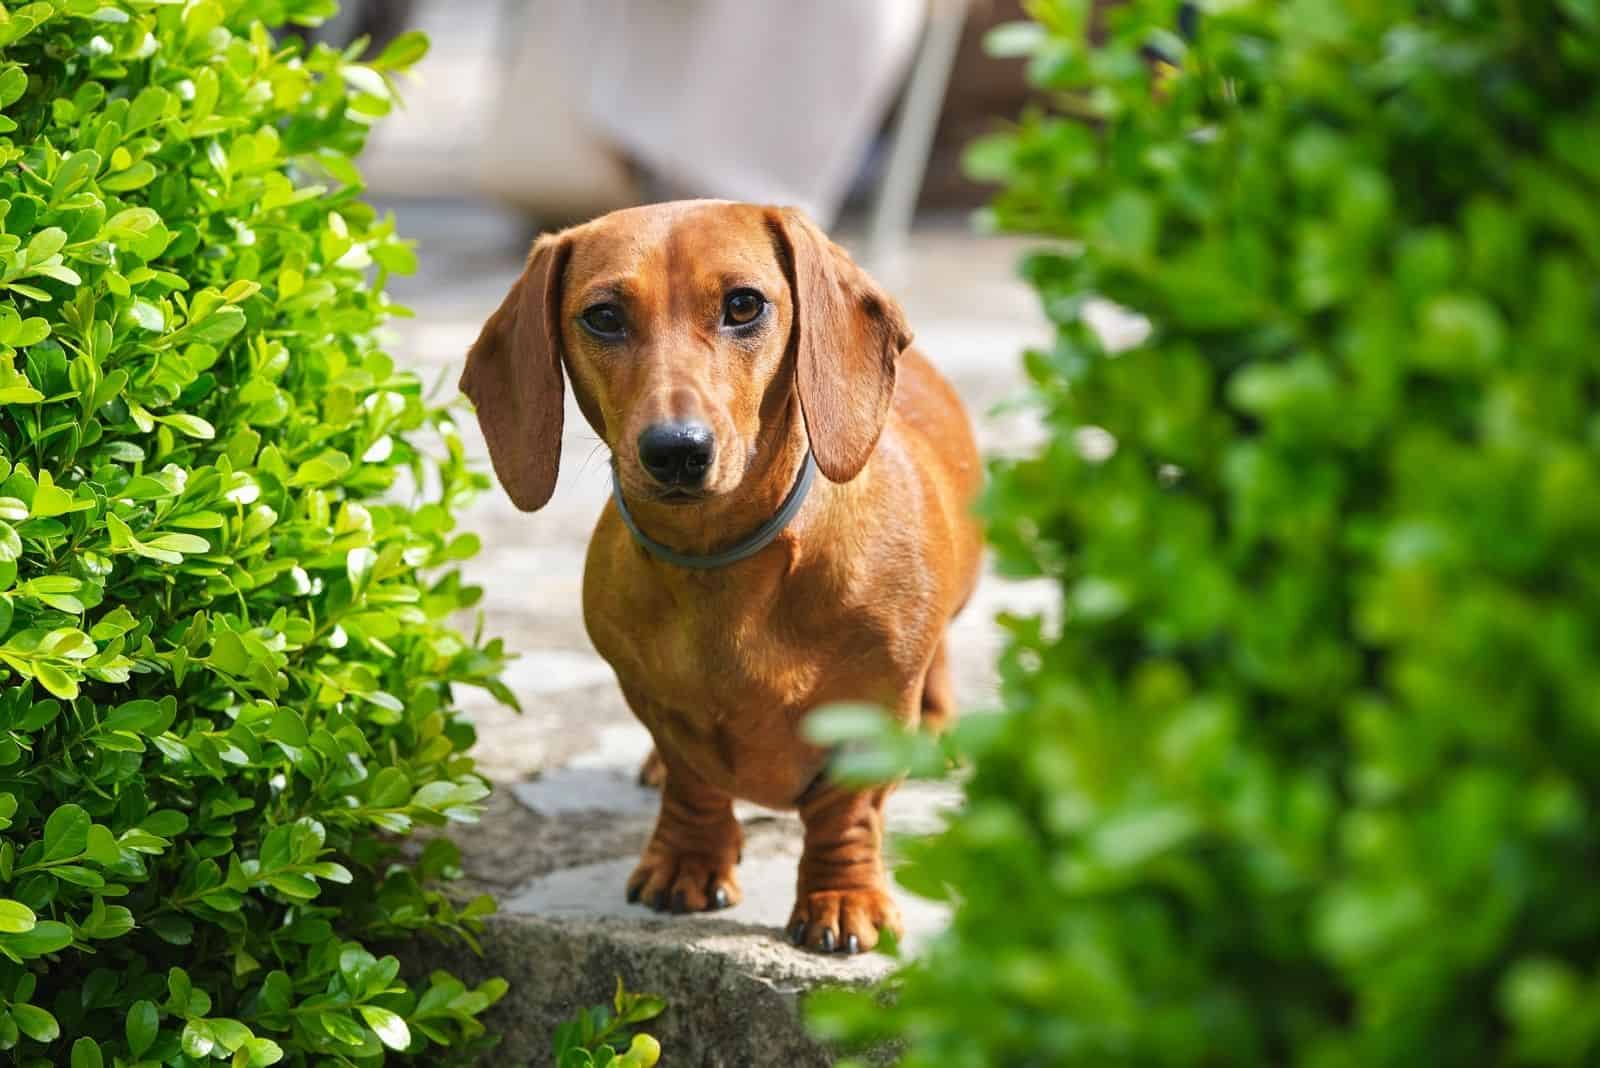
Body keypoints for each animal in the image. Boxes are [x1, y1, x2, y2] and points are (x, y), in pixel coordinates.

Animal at [464, 199, 979, 952]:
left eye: (744, 305)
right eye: (603, 316)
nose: (677, 450)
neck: (722, 565)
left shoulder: (876, 703)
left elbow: (846, 810)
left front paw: (840, 895)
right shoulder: (653, 700)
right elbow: (692, 778)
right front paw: (689, 859)